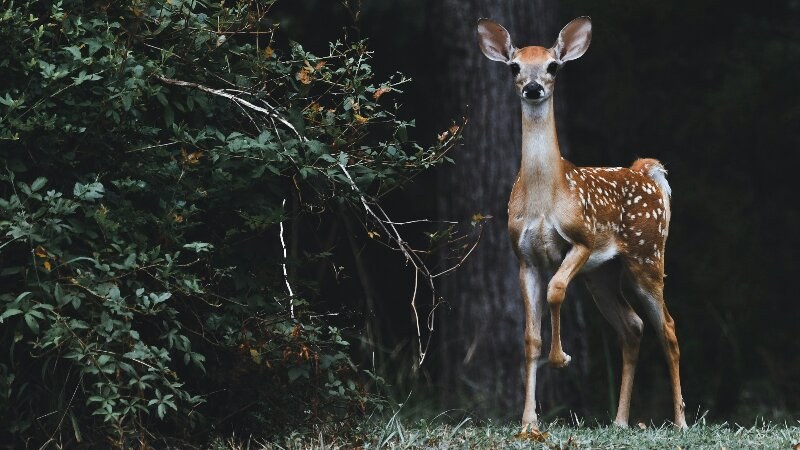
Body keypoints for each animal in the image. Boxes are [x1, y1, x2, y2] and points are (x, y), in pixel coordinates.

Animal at [476, 17, 688, 432]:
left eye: (553, 66)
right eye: (514, 67)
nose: (533, 88)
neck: (545, 197)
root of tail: (647, 173)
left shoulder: (582, 239)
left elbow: (556, 290)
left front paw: (562, 358)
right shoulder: (523, 257)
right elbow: (530, 337)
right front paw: (529, 422)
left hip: (647, 256)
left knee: (668, 328)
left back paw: (681, 422)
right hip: (602, 274)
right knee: (632, 326)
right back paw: (620, 421)